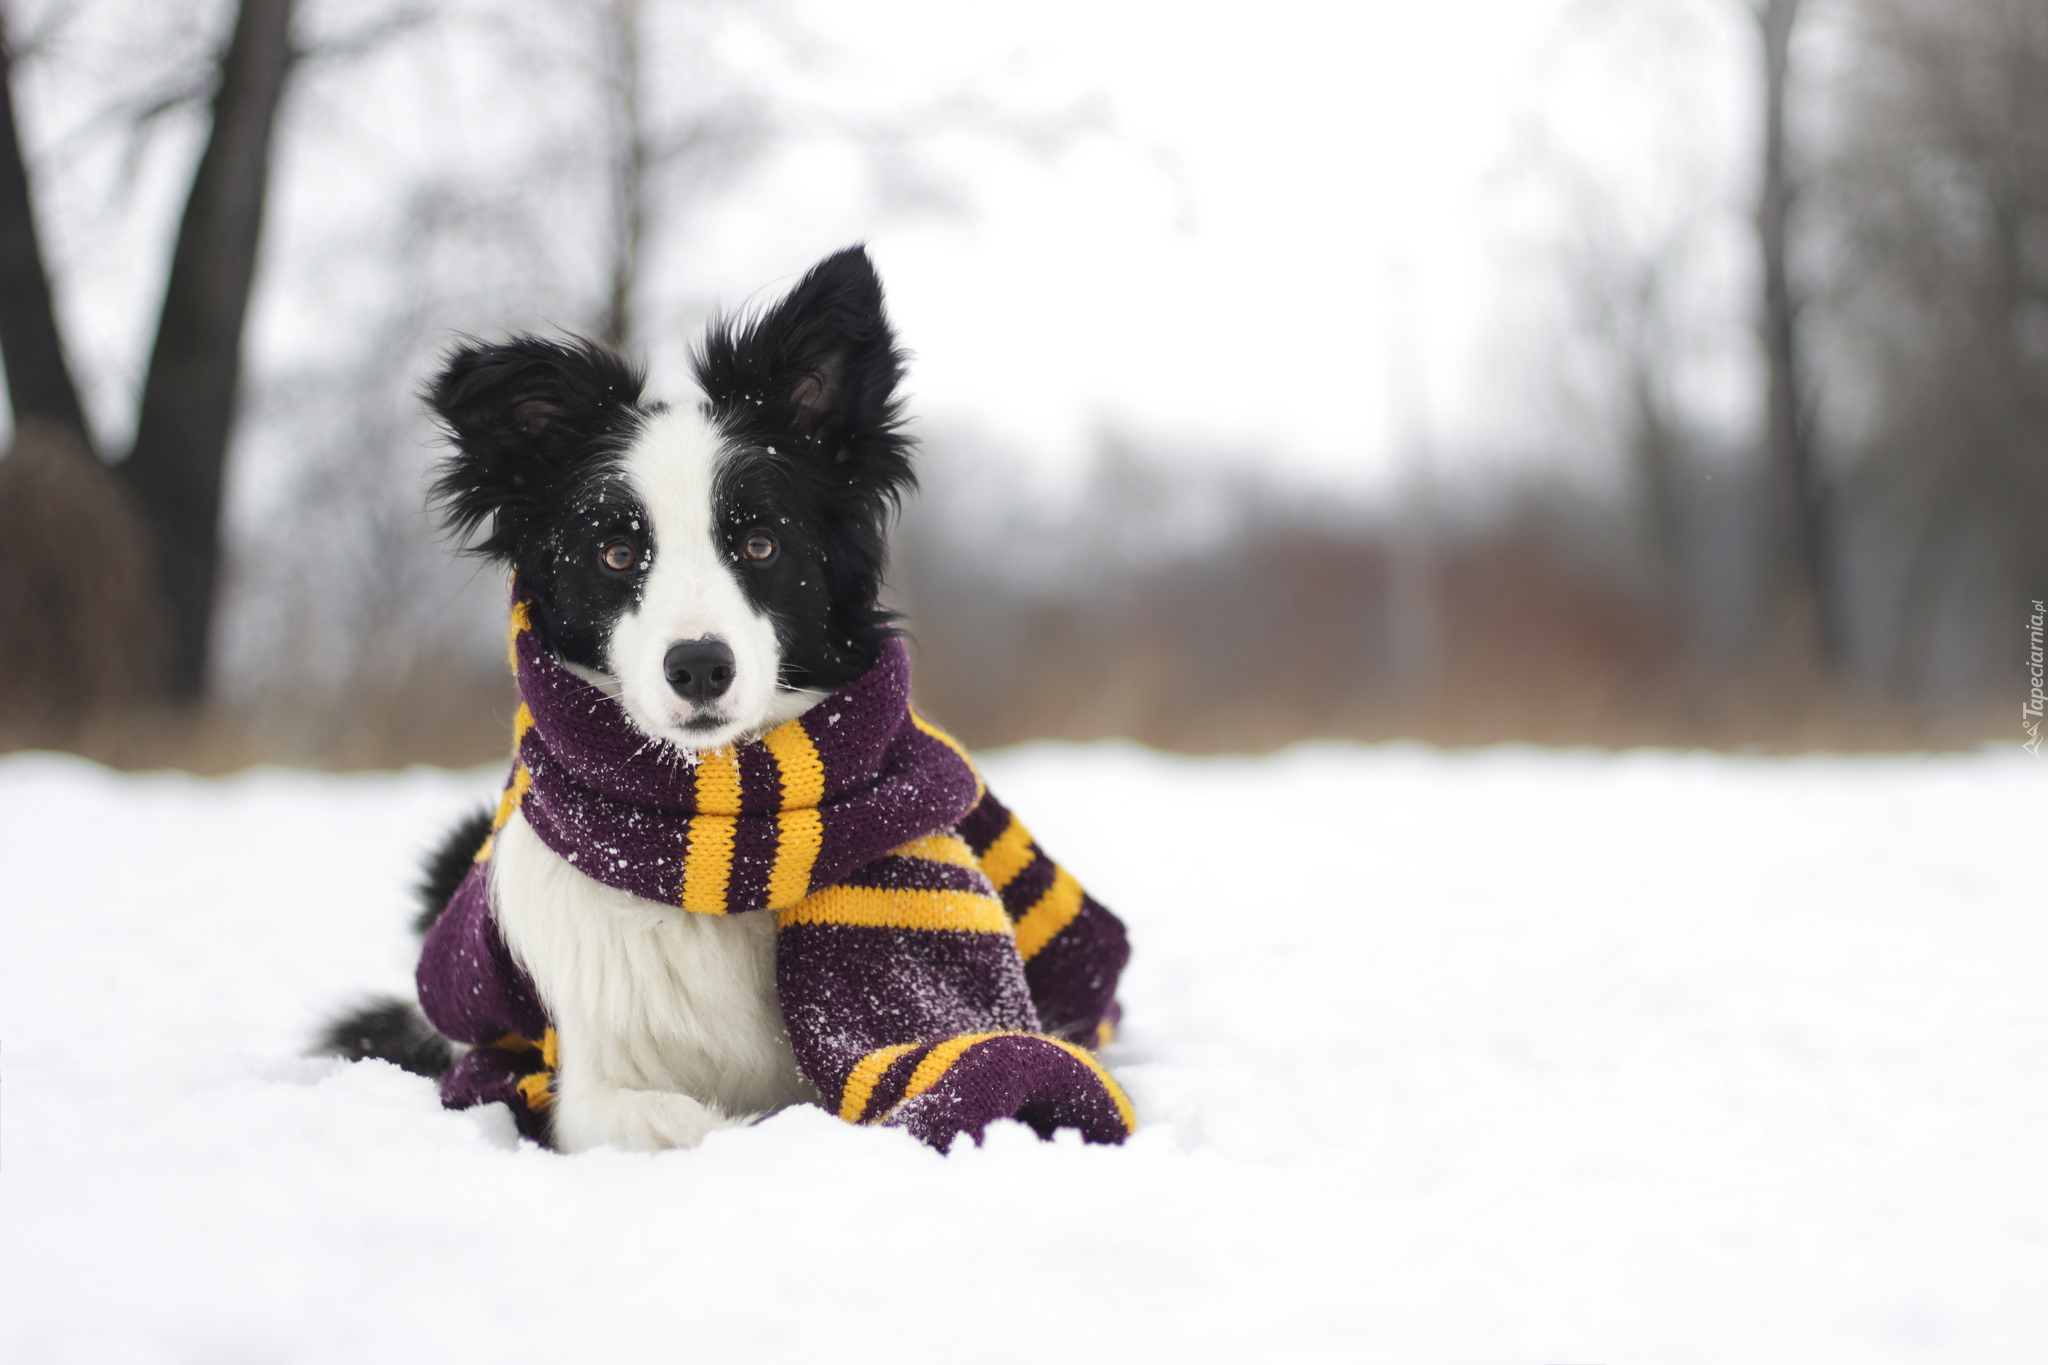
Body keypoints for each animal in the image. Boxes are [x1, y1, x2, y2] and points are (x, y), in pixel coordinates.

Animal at [331, 248, 1138, 1154]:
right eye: (616, 553)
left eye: (758, 542)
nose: (699, 667)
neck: (718, 825)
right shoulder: (586, 1090)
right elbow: (683, 1121)